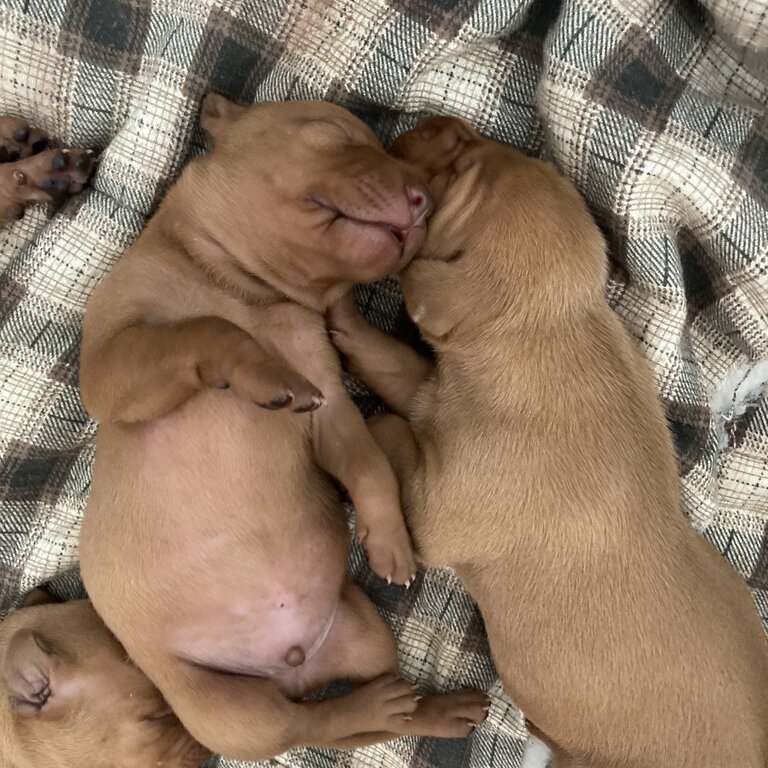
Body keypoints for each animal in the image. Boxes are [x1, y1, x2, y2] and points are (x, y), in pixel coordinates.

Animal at [76, 93, 486, 760]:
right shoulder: (114, 366)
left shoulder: (331, 409)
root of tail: (292, 669)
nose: (423, 202)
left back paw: (430, 709)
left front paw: (389, 536)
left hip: (363, 633)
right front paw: (262, 371)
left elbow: (370, 463)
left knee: (353, 722)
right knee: (306, 727)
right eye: (335, 133)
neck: (250, 292)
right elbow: (206, 330)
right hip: (226, 711)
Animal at [328, 115, 768, 768]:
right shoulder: (434, 392)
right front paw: (342, 318)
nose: (437, 120)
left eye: (458, 165)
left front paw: (387, 540)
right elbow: (389, 362)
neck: (553, 332)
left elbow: (387, 428)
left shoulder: (436, 508)